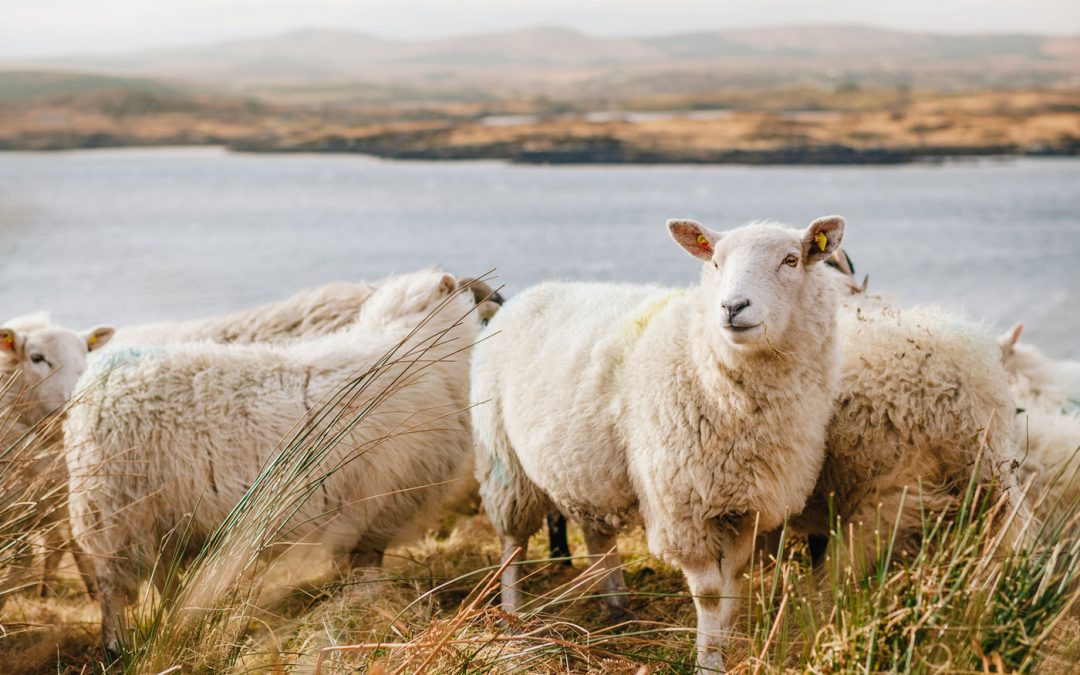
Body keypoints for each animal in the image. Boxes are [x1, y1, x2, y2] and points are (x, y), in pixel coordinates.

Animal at [61, 266, 479, 648]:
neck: (416, 347)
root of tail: (96, 381)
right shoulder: (376, 509)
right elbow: (366, 570)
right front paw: (368, 610)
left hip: (159, 520)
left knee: (164, 579)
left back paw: (177, 625)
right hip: (114, 513)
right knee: (112, 590)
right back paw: (117, 646)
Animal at [477, 216, 846, 669]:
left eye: (791, 260)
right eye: (716, 262)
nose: (732, 307)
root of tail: (526, 295)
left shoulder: (746, 506)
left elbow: (733, 581)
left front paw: (725, 641)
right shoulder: (682, 507)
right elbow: (709, 593)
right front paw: (708, 661)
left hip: (585, 468)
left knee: (597, 536)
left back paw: (618, 608)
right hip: (503, 460)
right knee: (512, 543)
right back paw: (513, 617)